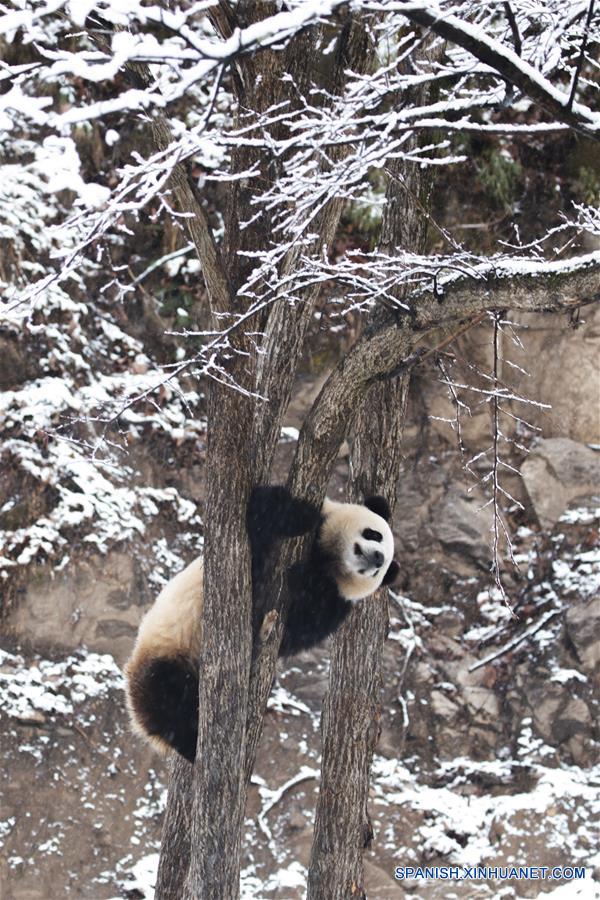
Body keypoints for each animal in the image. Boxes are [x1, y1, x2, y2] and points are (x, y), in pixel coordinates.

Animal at [125, 486, 398, 760]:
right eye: (374, 534)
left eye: (381, 569)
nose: (377, 558)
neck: (330, 559)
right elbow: (261, 517)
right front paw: (300, 516)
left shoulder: (336, 603)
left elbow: (300, 627)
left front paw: (306, 579)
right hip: (168, 649)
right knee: (170, 696)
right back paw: (189, 744)